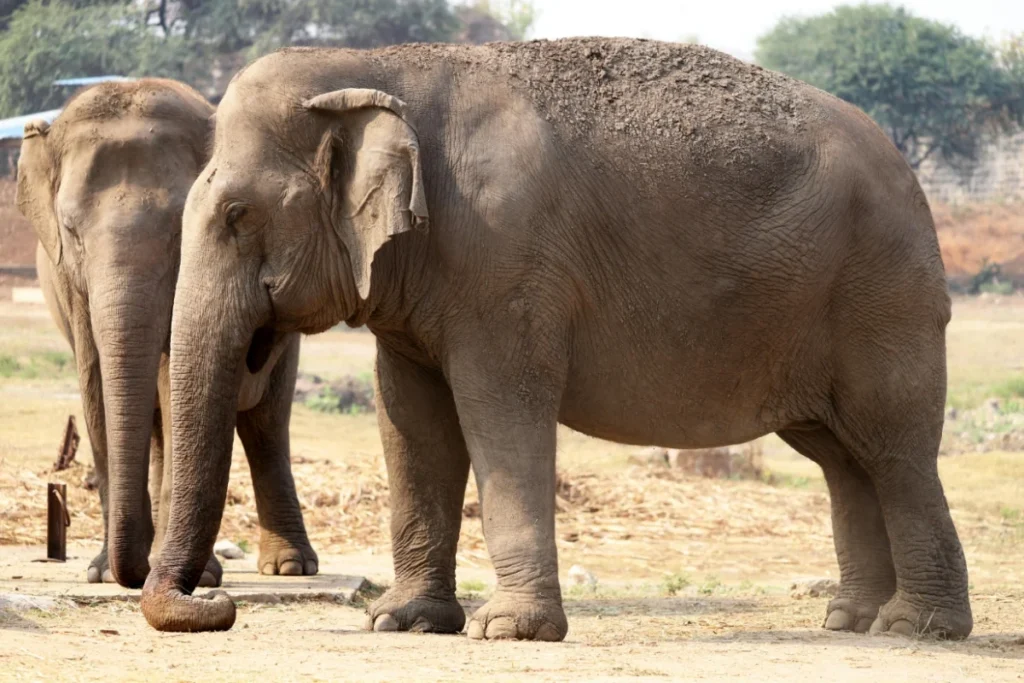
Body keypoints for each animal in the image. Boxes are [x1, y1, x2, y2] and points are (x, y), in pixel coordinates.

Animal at [17, 78, 318, 588]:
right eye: (71, 231)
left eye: (181, 231)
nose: (135, 572)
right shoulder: (70, 284)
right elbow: (95, 385)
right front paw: (104, 572)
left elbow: (178, 377)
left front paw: (195, 576)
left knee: (266, 422)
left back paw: (290, 567)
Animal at [140, 38, 971, 640]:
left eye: (238, 215)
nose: (215, 604)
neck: (379, 63)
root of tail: (912, 177)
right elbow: (413, 424)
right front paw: (402, 621)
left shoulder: (505, 261)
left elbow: (499, 411)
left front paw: (508, 630)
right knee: (841, 457)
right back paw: (850, 620)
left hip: (883, 297)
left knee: (893, 449)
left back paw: (917, 628)